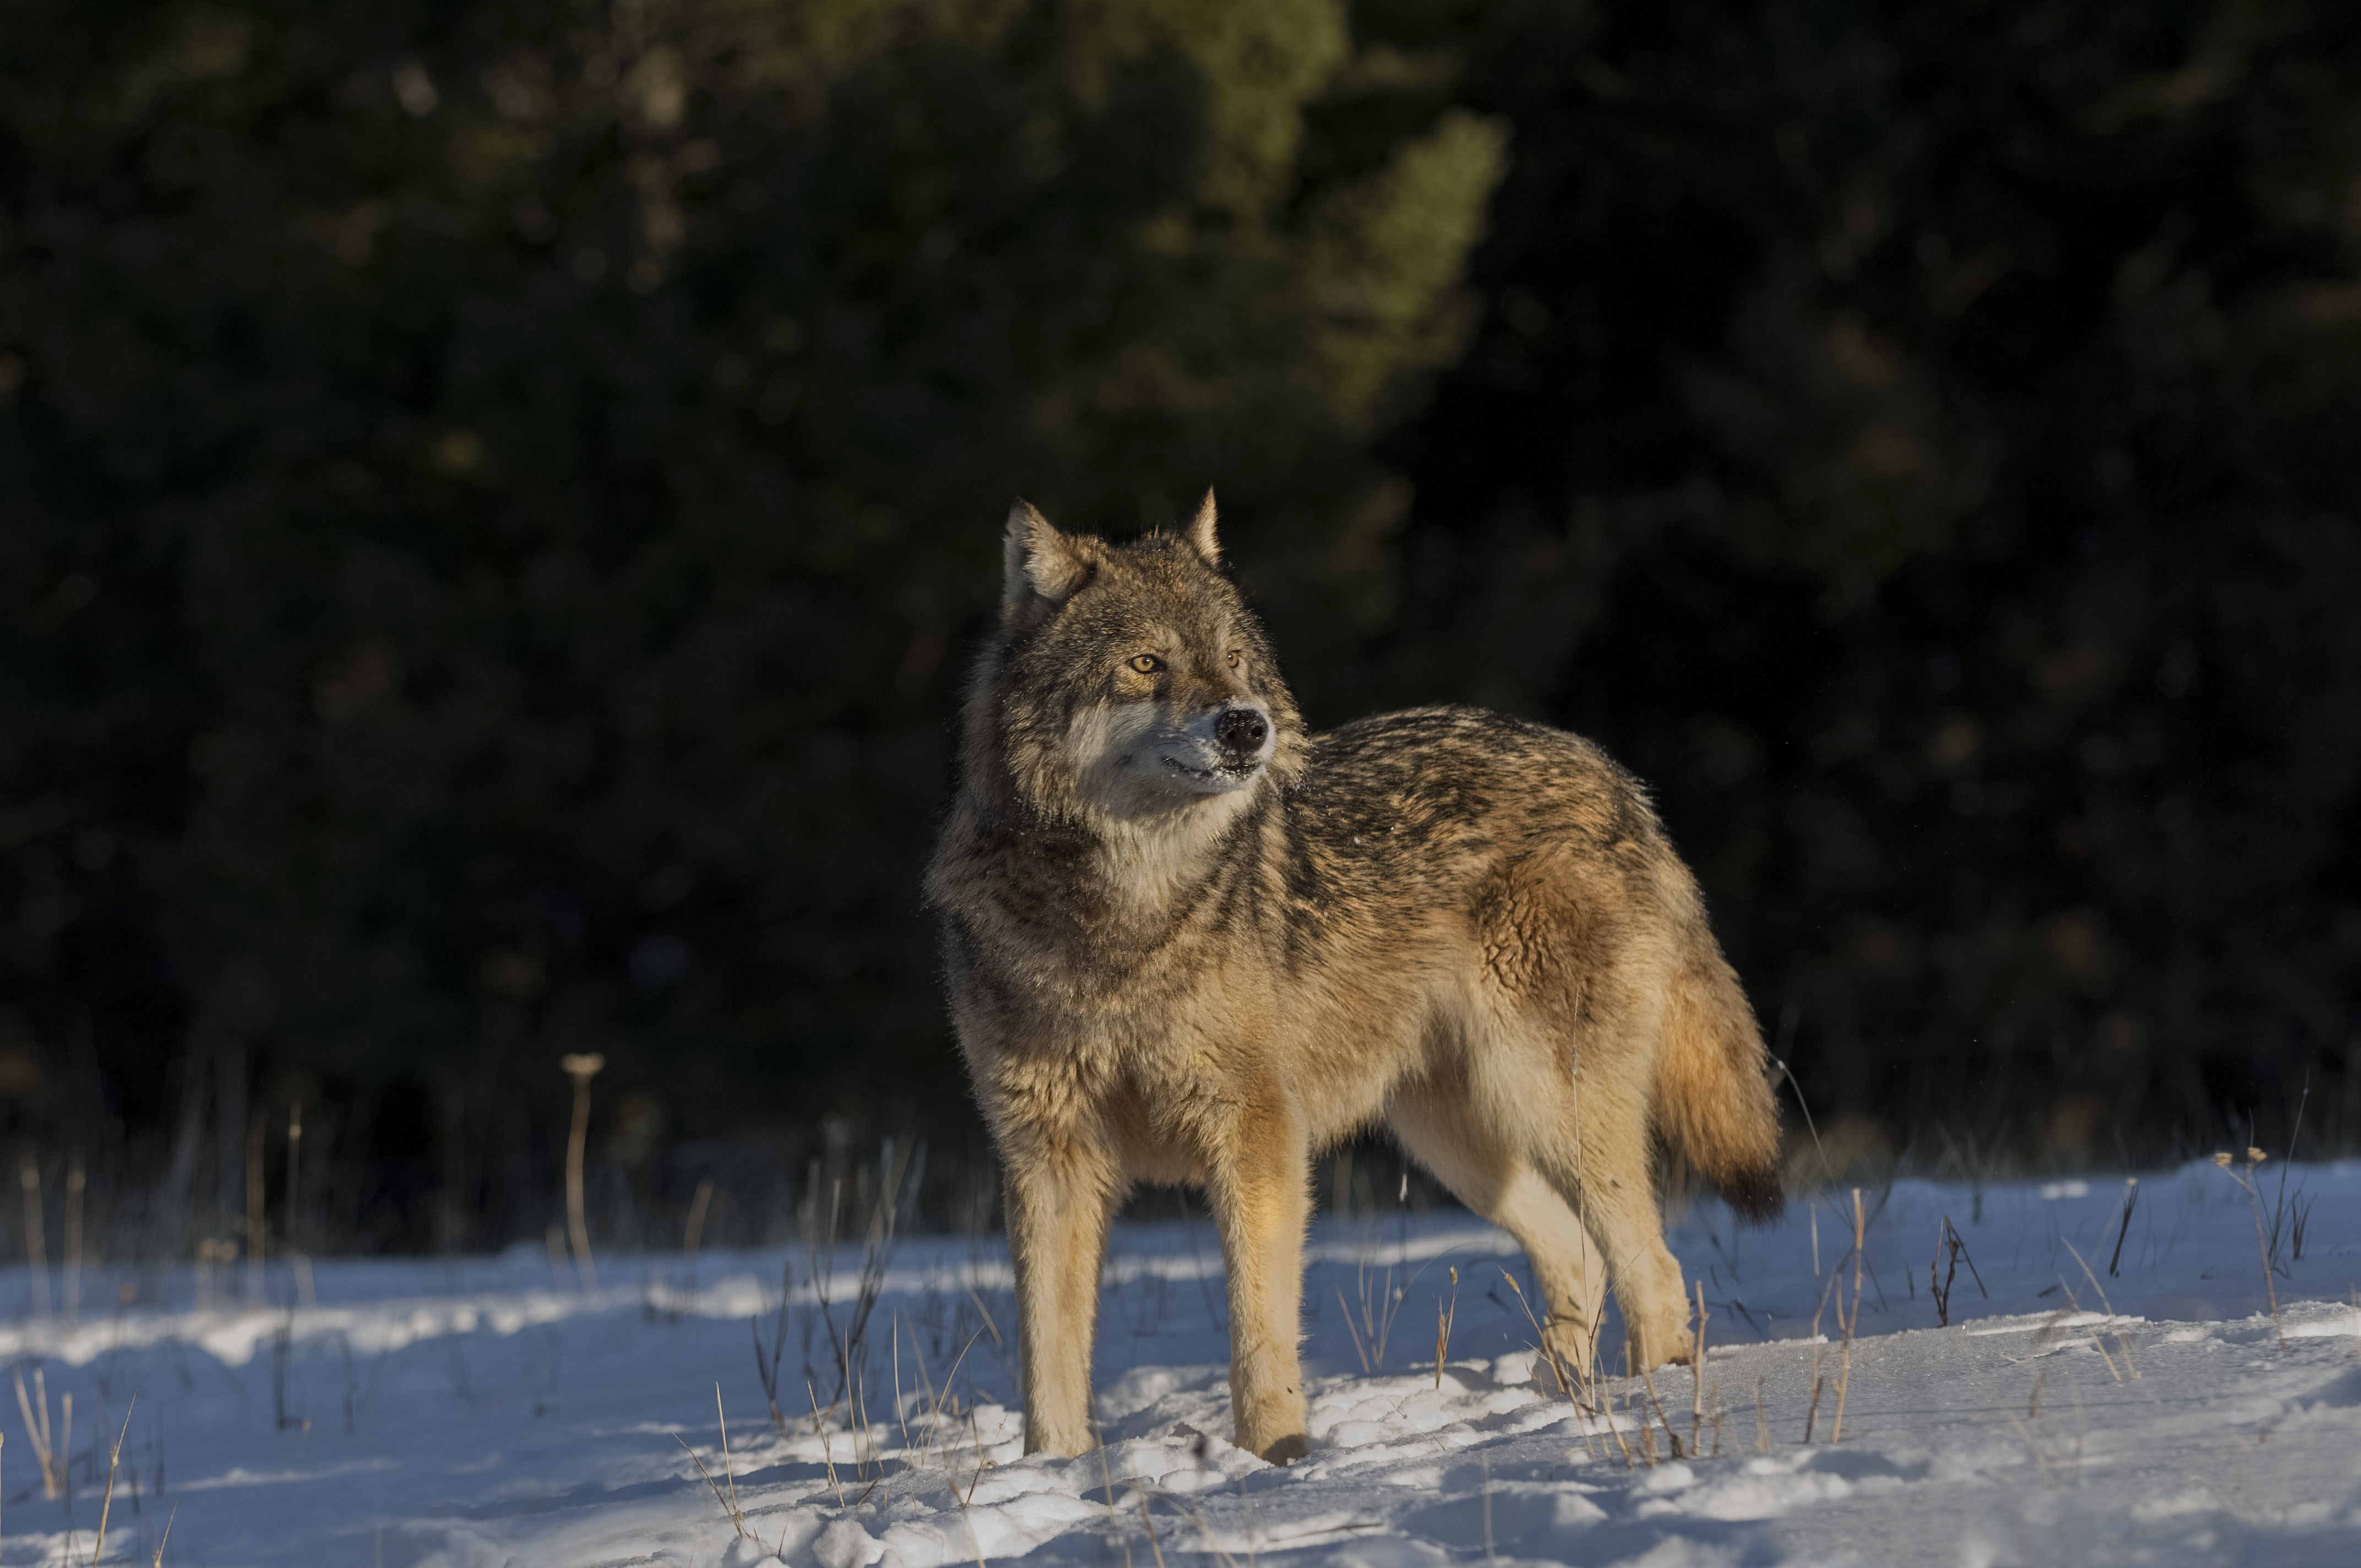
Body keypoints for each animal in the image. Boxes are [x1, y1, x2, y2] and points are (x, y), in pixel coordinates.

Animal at [930, 496, 1775, 1464]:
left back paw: (1652, 1406)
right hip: (1457, 1142)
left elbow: (1258, 1333)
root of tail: (1616, 777)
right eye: (1146, 664)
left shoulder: (1256, 1136)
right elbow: (1048, 1364)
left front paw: (1276, 1462)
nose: (1246, 725)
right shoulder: (1047, 1159)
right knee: (1582, 1254)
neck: (1120, 921)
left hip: (1548, 1106)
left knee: (1653, 1262)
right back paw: (1563, 1400)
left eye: (1234, 660)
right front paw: (1055, 1474)